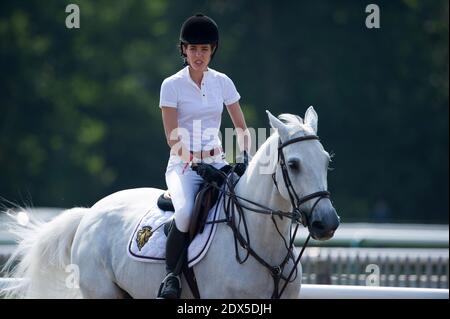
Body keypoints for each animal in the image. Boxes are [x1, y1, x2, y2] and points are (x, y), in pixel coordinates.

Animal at [0, 107, 338, 300]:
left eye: (326, 161)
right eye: (293, 164)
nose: (328, 223)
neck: (262, 243)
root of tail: (89, 214)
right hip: (103, 293)